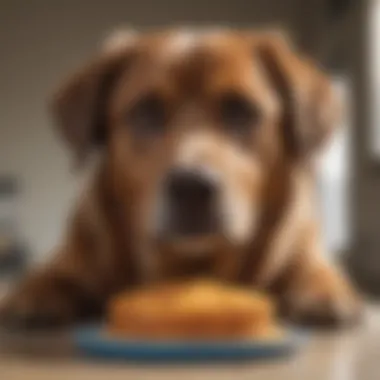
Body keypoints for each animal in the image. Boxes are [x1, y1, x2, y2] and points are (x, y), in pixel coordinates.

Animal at [0, 27, 360, 330]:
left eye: (241, 110)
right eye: (145, 111)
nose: (192, 188)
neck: (190, 266)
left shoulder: (302, 250)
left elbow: (315, 271)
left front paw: (325, 293)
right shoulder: (78, 251)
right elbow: (50, 273)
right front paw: (33, 293)